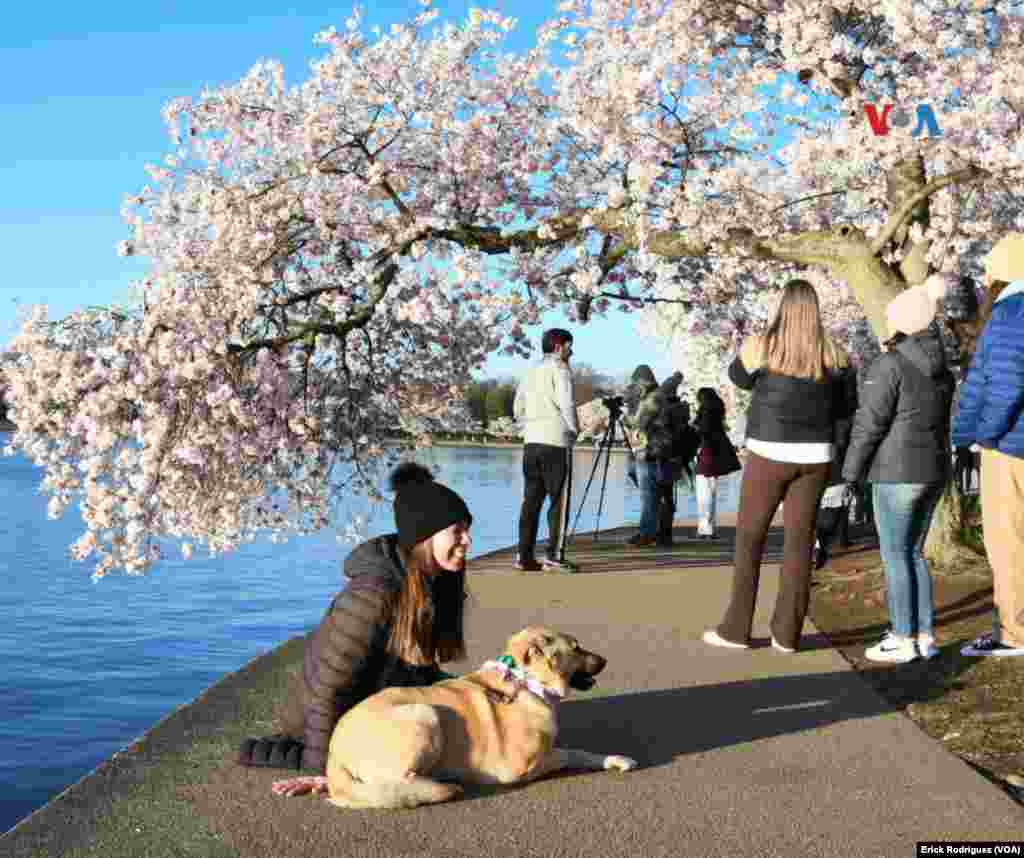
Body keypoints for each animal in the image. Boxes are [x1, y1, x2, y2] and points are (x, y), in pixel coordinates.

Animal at [272, 626, 638, 810]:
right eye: (575, 648)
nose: (605, 661)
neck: (524, 682)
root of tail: (334, 755)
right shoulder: (518, 767)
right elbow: (563, 754)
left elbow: (579, 751)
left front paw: (614, 760)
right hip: (425, 714)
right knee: (397, 782)